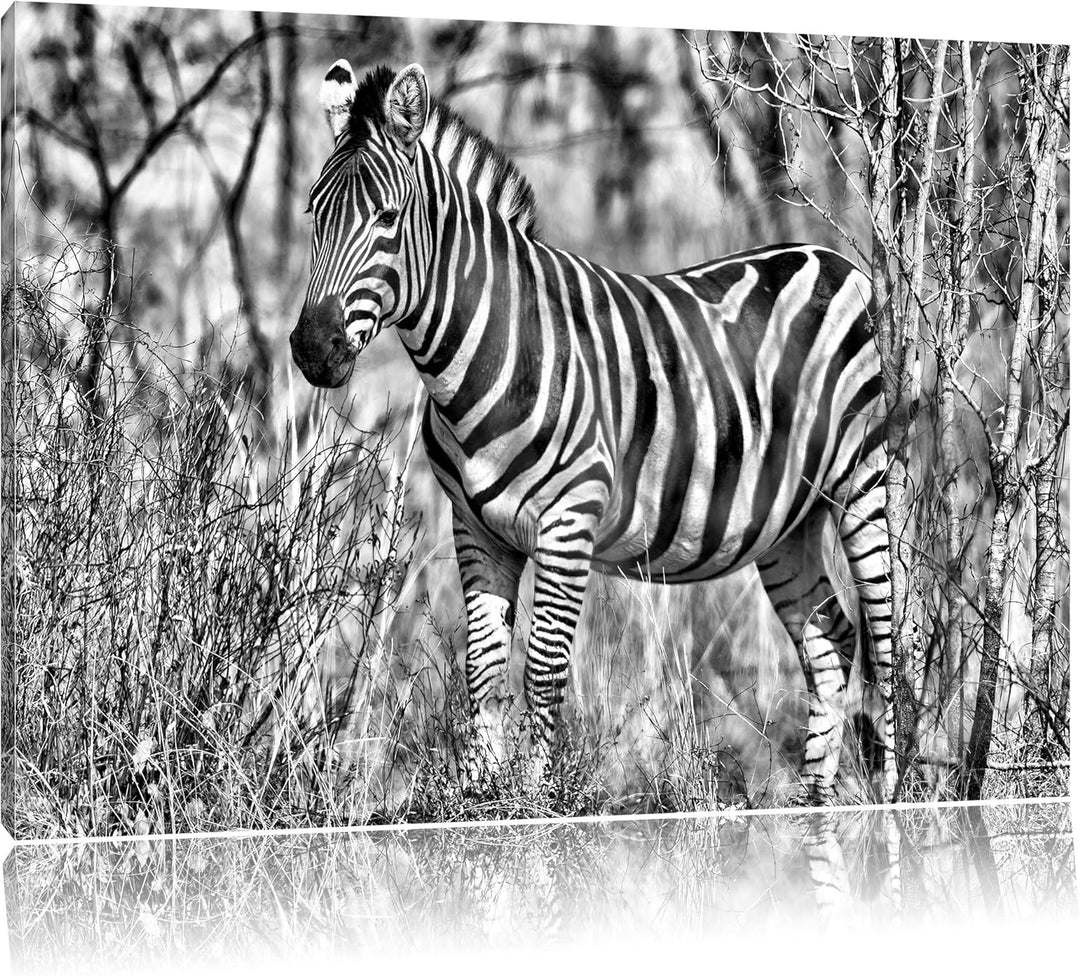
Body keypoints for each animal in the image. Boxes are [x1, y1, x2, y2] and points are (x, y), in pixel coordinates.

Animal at [289, 60, 898, 803]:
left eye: (386, 217)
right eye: (314, 215)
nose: (312, 351)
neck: (486, 351)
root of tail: (829, 257)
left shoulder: (568, 520)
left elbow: (543, 672)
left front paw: (531, 805)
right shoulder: (477, 527)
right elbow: (483, 668)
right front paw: (477, 797)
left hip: (861, 480)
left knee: (883, 641)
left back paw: (894, 799)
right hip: (788, 518)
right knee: (829, 640)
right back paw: (815, 802)